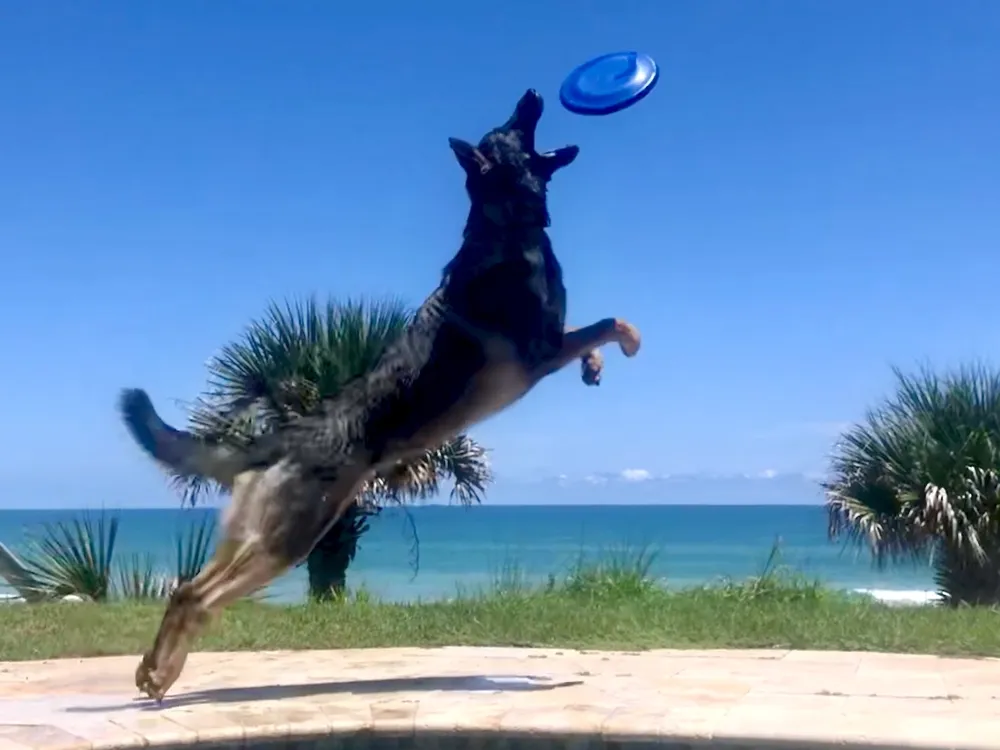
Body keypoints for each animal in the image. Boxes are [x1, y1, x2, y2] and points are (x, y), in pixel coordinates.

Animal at [121, 89, 640, 704]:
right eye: (511, 127)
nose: (533, 94)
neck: (503, 222)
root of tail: (288, 434)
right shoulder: (541, 350)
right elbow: (610, 321)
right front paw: (624, 344)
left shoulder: (553, 342)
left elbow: (592, 329)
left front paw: (595, 366)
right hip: (289, 540)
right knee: (201, 598)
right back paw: (162, 675)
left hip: (253, 537)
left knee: (183, 589)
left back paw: (153, 669)